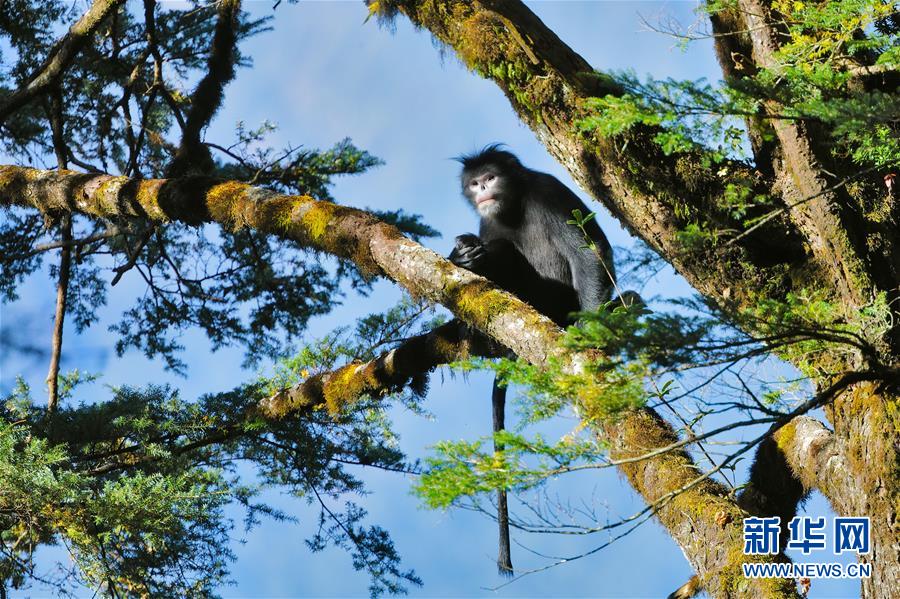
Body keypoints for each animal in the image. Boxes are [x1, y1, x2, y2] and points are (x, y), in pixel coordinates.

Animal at [450, 145, 620, 576]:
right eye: (474, 184)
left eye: (491, 178)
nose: (482, 190)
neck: (512, 206)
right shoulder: (486, 219)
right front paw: (463, 255)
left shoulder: (548, 193)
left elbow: (589, 254)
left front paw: (591, 333)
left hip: (552, 299)